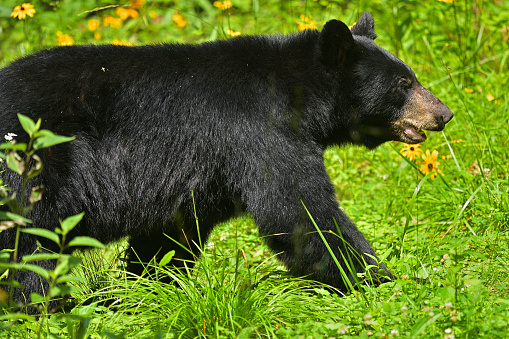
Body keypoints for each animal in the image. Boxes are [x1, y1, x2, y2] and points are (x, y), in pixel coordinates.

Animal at [0, 11, 452, 308]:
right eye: (403, 83)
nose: (444, 113)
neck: (301, 94)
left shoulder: (199, 176)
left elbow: (168, 237)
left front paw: (143, 293)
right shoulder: (260, 131)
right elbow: (299, 213)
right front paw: (388, 282)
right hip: (30, 164)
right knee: (30, 252)